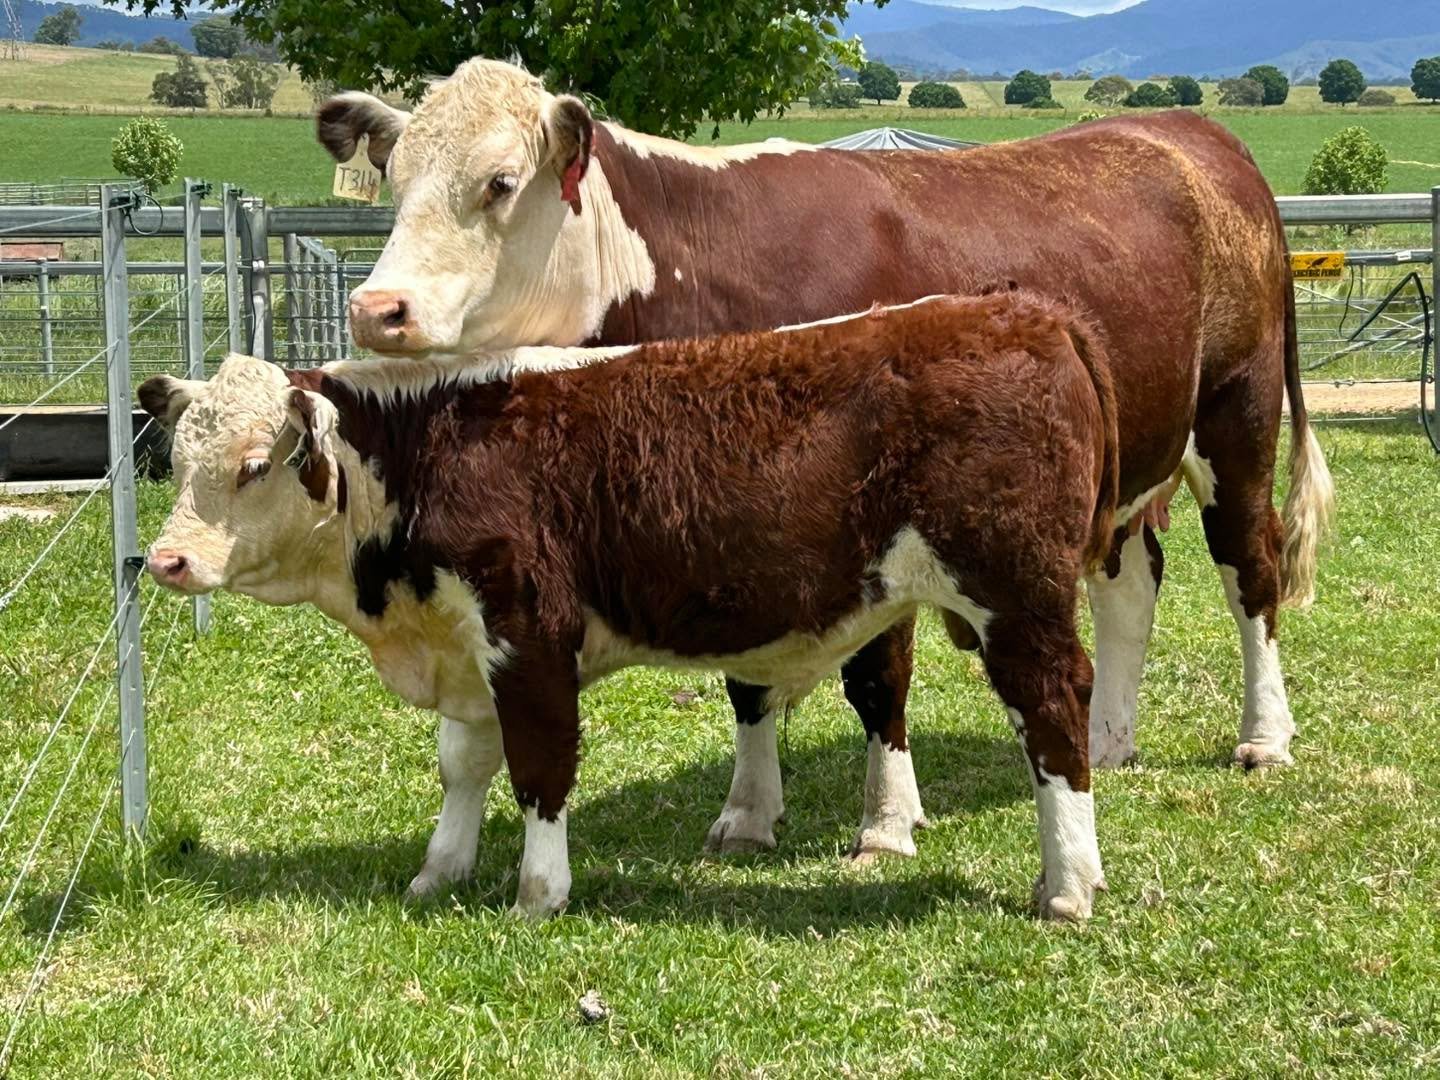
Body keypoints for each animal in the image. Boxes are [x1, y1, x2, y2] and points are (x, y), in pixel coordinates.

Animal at [140, 292, 1122, 920]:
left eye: (254, 464)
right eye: (178, 459)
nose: (166, 559)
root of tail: (1025, 311)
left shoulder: (529, 634)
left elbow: (540, 769)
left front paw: (537, 895)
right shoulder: (465, 641)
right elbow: (464, 764)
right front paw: (439, 871)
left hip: (1017, 603)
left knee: (1052, 709)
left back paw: (1068, 885)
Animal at [315, 58, 1333, 864]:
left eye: (497, 182)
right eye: (395, 180)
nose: (377, 309)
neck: (697, 267)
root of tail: (1191, 132)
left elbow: (877, 677)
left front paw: (885, 820)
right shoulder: (727, 520)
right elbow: (747, 678)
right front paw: (749, 813)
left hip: (1237, 419)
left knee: (1250, 571)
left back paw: (1265, 736)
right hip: (1121, 475)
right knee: (1131, 583)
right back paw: (1112, 737)